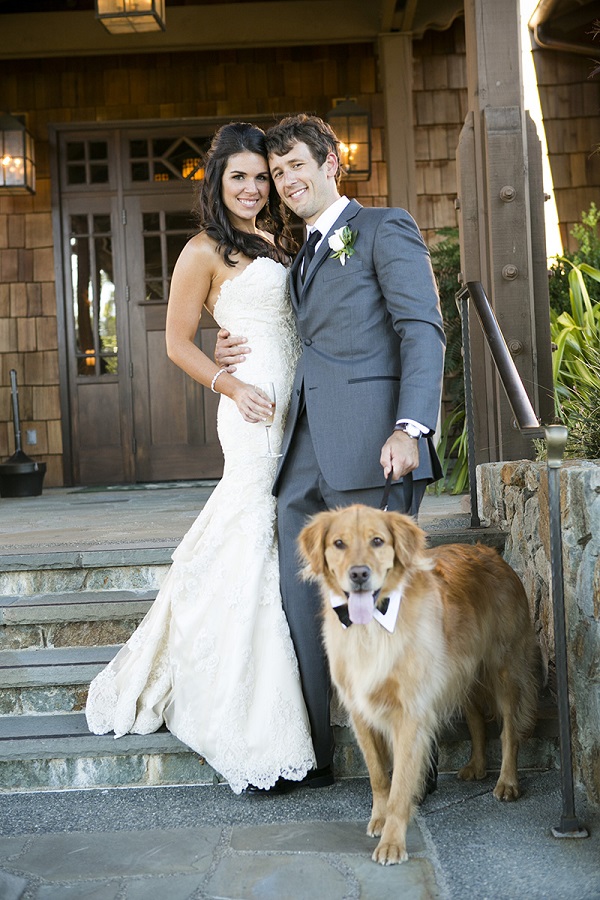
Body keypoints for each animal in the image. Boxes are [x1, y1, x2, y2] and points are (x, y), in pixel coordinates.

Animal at [298, 505, 539, 866]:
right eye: (338, 543)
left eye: (377, 541)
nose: (359, 574)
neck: (372, 627)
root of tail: (489, 552)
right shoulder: (360, 712)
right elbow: (379, 775)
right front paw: (379, 819)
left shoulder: (410, 712)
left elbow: (400, 783)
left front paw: (392, 841)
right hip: (459, 672)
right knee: (476, 719)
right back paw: (477, 765)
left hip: (503, 669)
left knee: (509, 730)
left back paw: (507, 782)